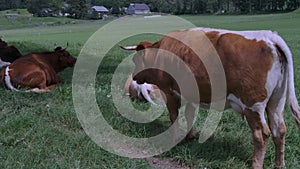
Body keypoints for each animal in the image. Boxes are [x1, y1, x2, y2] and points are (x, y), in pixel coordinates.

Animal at [120, 28, 300, 168]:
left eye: (136, 59)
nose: (134, 77)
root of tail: (268, 36)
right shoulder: (191, 95)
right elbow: (189, 116)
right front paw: (189, 137)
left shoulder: (168, 92)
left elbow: (174, 117)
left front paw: (175, 140)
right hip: (276, 102)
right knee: (279, 130)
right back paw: (279, 164)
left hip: (253, 105)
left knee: (262, 134)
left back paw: (256, 164)